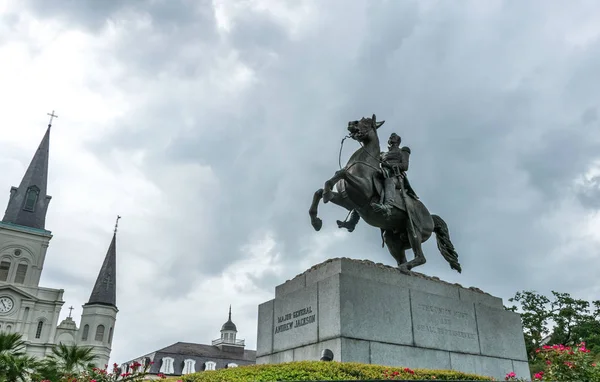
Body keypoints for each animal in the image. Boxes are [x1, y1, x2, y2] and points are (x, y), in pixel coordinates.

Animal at [308, 115, 462, 274]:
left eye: (367, 122)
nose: (352, 123)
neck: (363, 164)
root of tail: (430, 217)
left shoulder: (362, 190)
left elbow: (341, 172)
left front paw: (327, 193)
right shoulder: (347, 202)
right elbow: (319, 192)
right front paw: (316, 221)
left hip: (414, 231)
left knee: (420, 257)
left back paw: (404, 267)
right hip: (393, 239)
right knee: (402, 257)